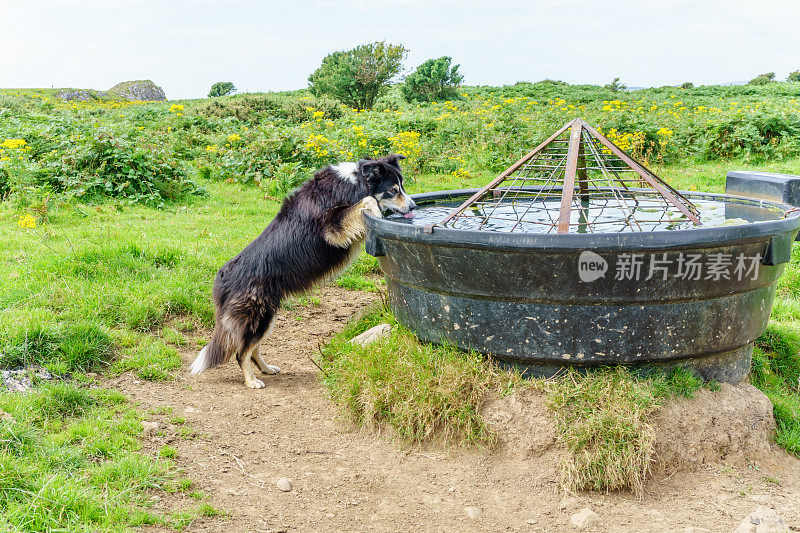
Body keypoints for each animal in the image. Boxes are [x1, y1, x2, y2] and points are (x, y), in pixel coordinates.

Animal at [190, 154, 416, 386]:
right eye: (393, 190)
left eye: (402, 187)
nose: (414, 207)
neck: (353, 183)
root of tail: (222, 280)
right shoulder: (332, 228)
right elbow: (367, 201)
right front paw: (378, 212)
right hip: (257, 316)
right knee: (241, 352)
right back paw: (252, 381)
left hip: (267, 317)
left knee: (253, 349)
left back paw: (266, 369)